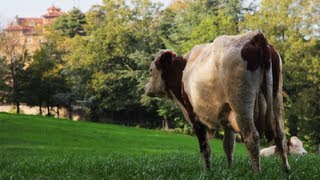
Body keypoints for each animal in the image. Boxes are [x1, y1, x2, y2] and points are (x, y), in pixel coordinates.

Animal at [146, 31, 292, 173]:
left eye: (151, 70)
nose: (146, 87)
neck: (182, 70)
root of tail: (255, 36)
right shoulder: (227, 117)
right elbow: (228, 146)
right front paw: (229, 170)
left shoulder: (194, 116)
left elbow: (205, 148)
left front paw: (207, 171)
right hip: (276, 98)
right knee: (280, 135)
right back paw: (286, 170)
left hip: (241, 104)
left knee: (252, 137)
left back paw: (257, 173)